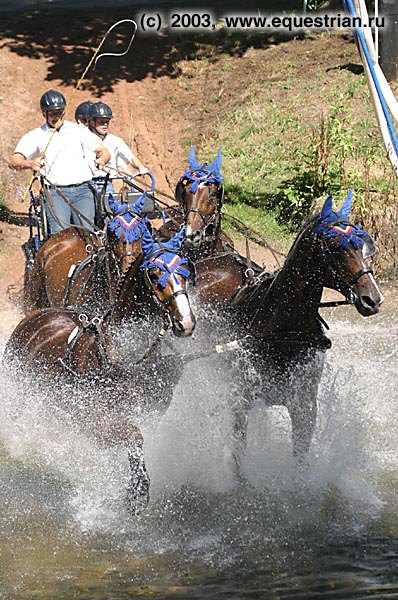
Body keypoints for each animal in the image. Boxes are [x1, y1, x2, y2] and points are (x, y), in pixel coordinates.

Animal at [7, 227, 197, 512]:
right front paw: (138, 490)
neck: (123, 355)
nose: (185, 322)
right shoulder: (96, 421)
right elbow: (135, 437)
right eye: (154, 275)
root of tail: (34, 317)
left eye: (185, 270)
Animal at [213, 191, 384, 468]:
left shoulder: (304, 407)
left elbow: (300, 463)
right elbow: (239, 458)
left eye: (362, 246)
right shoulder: (241, 400)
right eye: (336, 247)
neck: (283, 330)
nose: (373, 298)